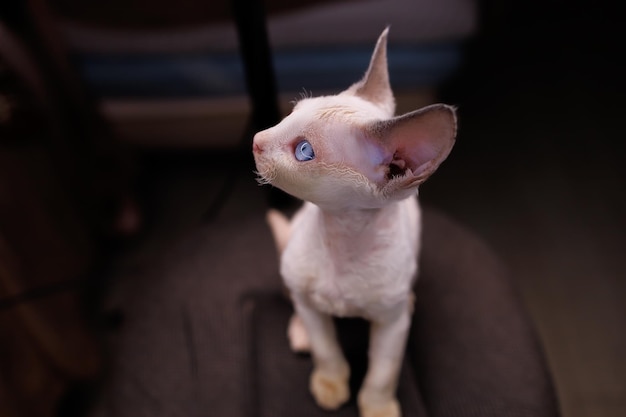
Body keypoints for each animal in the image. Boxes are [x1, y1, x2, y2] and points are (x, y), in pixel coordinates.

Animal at [251, 26, 456, 416]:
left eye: (304, 151)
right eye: (289, 114)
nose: (256, 139)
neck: (342, 236)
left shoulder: (391, 327)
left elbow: (382, 373)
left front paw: (378, 407)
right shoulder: (310, 303)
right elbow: (326, 350)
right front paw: (331, 386)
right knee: (296, 300)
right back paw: (300, 331)